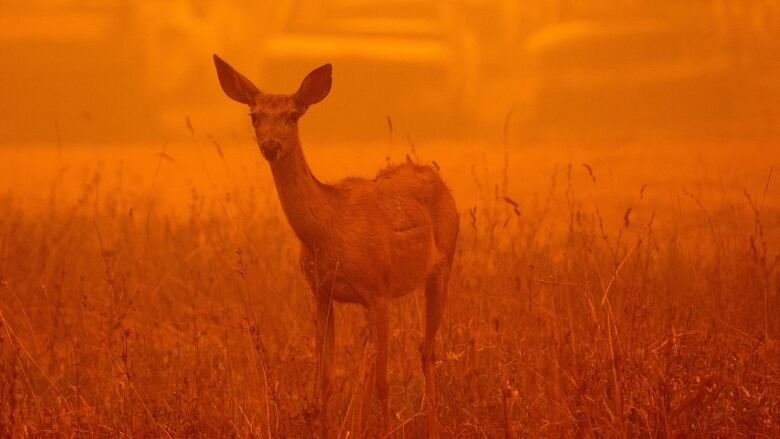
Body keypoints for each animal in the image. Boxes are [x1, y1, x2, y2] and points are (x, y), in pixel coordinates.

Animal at [213, 55, 458, 439]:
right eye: (254, 115)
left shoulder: (378, 290)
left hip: (443, 266)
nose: (271, 145)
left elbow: (382, 381)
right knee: (376, 357)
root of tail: (437, 177)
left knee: (425, 349)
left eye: (292, 115)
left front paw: (386, 430)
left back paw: (432, 427)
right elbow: (326, 378)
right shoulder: (322, 292)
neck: (328, 231)